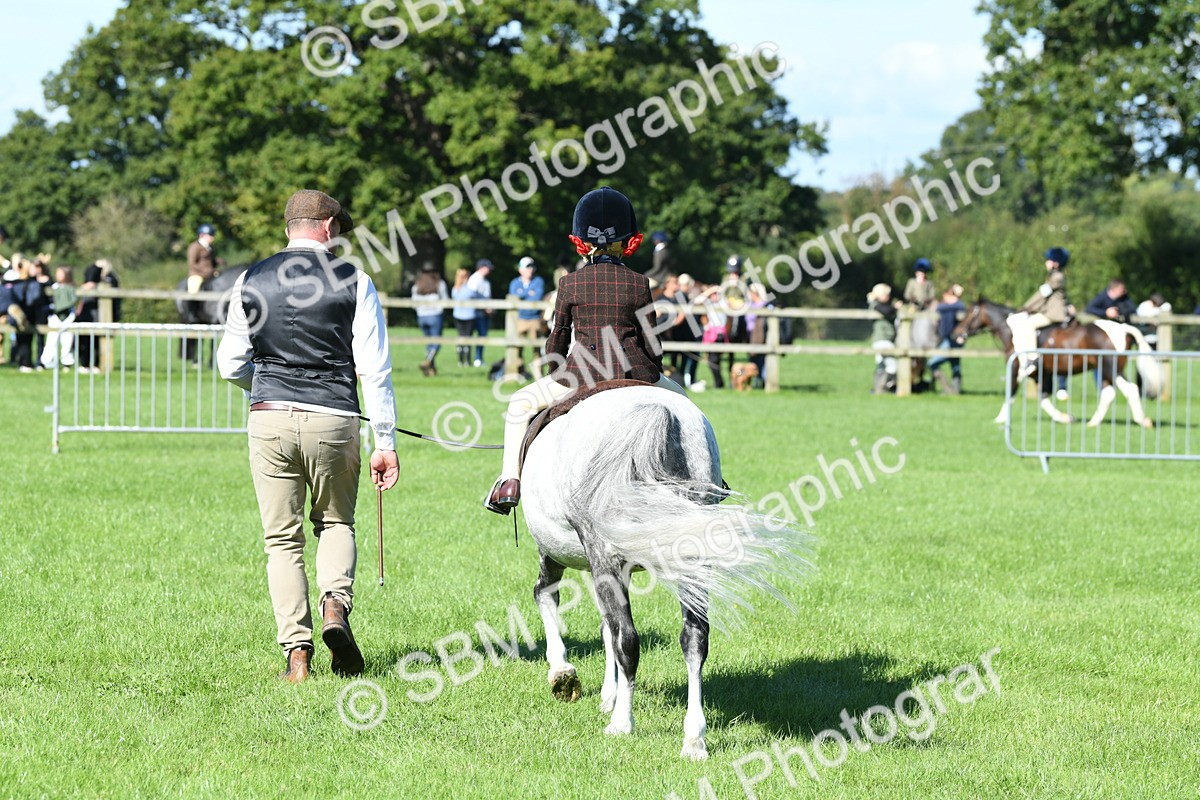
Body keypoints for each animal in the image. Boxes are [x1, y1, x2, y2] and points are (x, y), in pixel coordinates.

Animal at [520, 386, 812, 760]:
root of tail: (658, 412)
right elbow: (606, 628)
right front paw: (607, 694)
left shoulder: (567, 554)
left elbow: (552, 598)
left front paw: (564, 675)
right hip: (692, 553)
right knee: (694, 638)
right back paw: (694, 739)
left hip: (596, 552)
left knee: (626, 638)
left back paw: (622, 723)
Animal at [951, 299, 1161, 427]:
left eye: (969, 313)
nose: (956, 333)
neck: (1013, 331)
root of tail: (1123, 328)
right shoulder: (1042, 374)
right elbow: (1044, 398)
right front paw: (1064, 417)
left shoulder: (1017, 370)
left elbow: (1011, 394)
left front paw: (1000, 419)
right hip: (1104, 370)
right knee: (1108, 394)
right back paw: (1093, 422)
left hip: (1112, 369)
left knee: (1130, 389)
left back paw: (1142, 420)